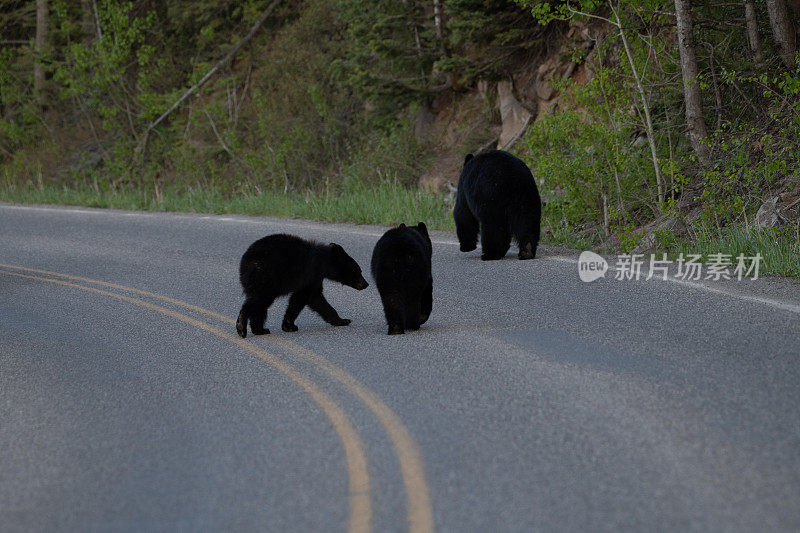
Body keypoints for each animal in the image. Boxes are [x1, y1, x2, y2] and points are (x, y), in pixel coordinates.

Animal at [233, 234, 368, 336]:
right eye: (359, 271)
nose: (366, 284)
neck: (324, 261)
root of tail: (244, 263)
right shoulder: (312, 273)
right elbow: (311, 297)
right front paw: (343, 320)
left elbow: (303, 299)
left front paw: (288, 325)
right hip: (265, 276)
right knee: (258, 301)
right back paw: (241, 326)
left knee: (260, 305)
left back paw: (260, 330)